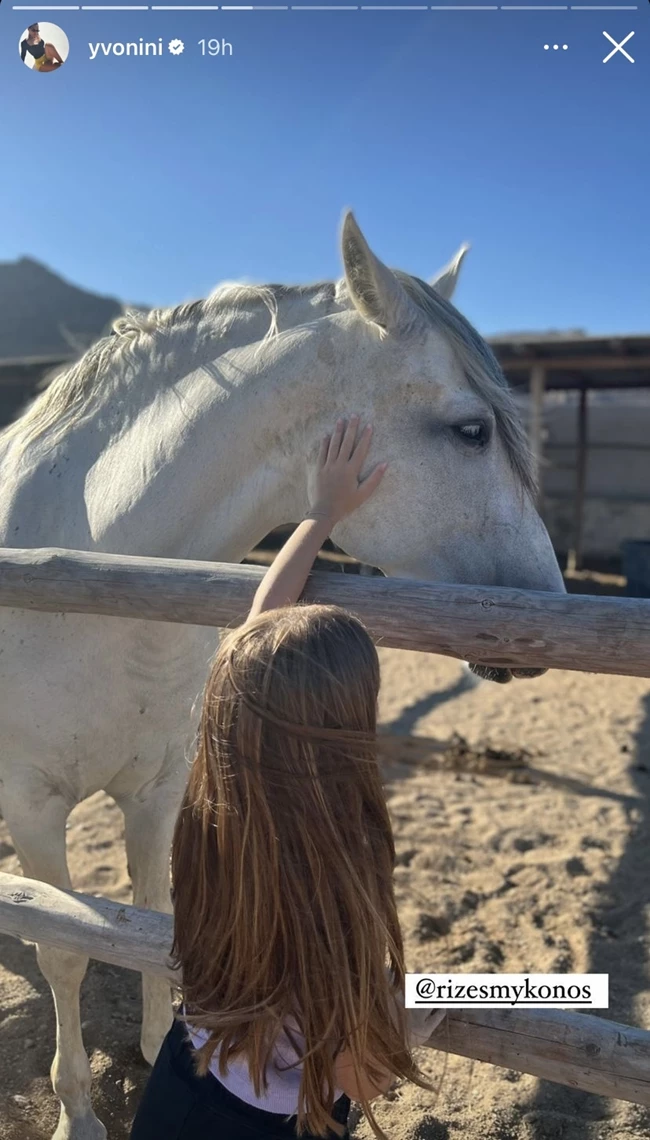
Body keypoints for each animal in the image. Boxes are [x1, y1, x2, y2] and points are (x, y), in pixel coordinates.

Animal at [0, 215, 561, 1140]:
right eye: (472, 430)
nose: (547, 610)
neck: (88, 576)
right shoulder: (34, 808)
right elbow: (66, 949)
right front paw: (77, 1113)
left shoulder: (157, 788)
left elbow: (152, 917)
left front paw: (155, 1044)